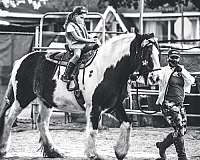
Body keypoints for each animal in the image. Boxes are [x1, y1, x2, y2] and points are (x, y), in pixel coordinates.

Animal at [0, 31, 160, 159]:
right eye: (147, 52)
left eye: (158, 53)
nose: (156, 78)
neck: (107, 69)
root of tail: (21, 60)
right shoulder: (94, 107)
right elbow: (93, 130)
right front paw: (92, 154)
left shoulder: (114, 105)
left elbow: (127, 124)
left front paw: (120, 151)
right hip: (22, 98)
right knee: (9, 119)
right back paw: (3, 149)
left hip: (46, 101)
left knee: (42, 122)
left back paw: (53, 151)